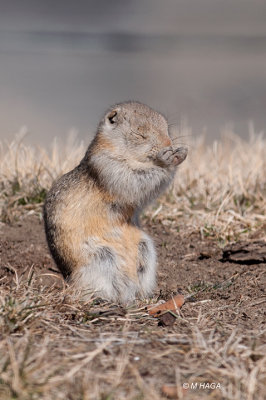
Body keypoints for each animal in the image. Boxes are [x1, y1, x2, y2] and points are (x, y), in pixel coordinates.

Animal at [43, 102, 188, 304]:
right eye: (139, 134)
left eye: (167, 128)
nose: (169, 144)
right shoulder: (108, 165)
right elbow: (134, 178)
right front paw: (169, 159)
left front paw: (181, 152)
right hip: (101, 257)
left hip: (145, 249)